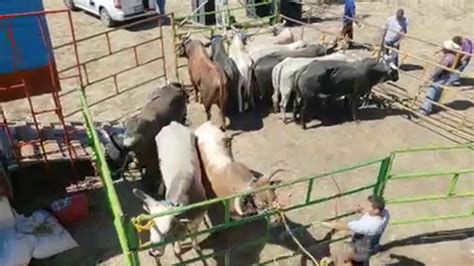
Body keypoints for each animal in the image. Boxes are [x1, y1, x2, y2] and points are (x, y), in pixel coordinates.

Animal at [133, 122, 207, 258]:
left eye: (167, 232)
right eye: (151, 226)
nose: (153, 253)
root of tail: (173, 124)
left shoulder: (198, 218)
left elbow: (194, 235)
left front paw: (196, 247)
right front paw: (177, 249)